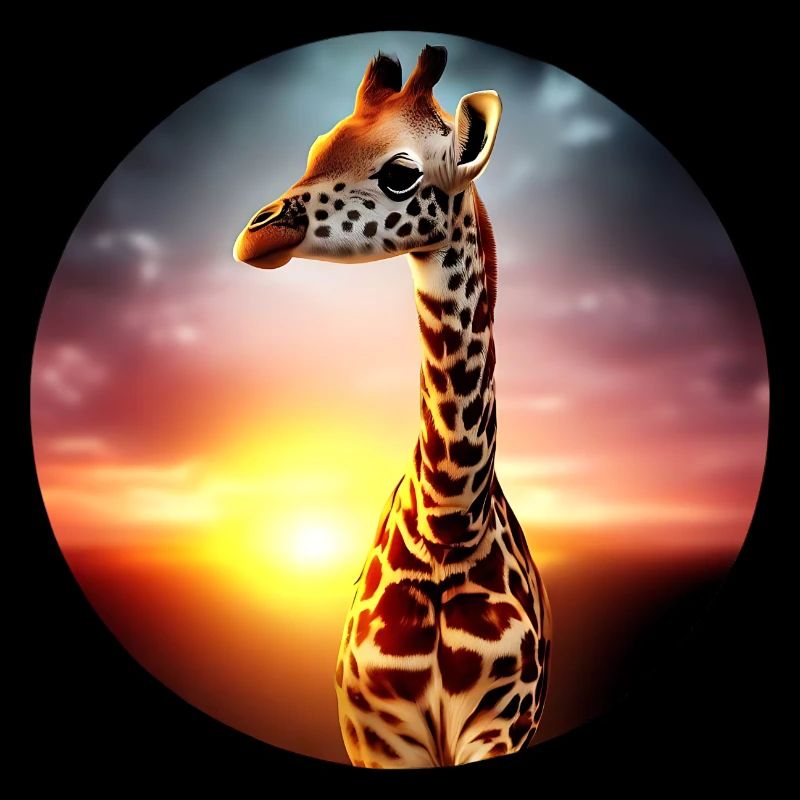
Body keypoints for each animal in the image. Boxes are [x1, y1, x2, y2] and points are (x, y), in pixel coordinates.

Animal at [234, 45, 552, 768]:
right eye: (317, 148)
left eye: (401, 173)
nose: (255, 235)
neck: (446, 527)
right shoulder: (380, 735)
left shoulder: (501, 724)